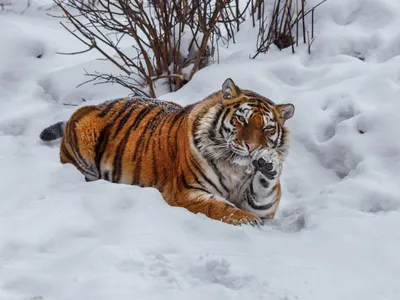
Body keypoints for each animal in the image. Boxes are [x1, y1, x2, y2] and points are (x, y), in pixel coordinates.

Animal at [39, 78, 294, 226]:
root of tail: (93, 106)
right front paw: (248, 221)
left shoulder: (263, 204)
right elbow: (219, 206)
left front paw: (268, 163)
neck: (236, 168)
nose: (252, 147)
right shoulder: (186, 191)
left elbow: (263, 192)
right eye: (241, 119)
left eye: (268, 128)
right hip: (84, 134)